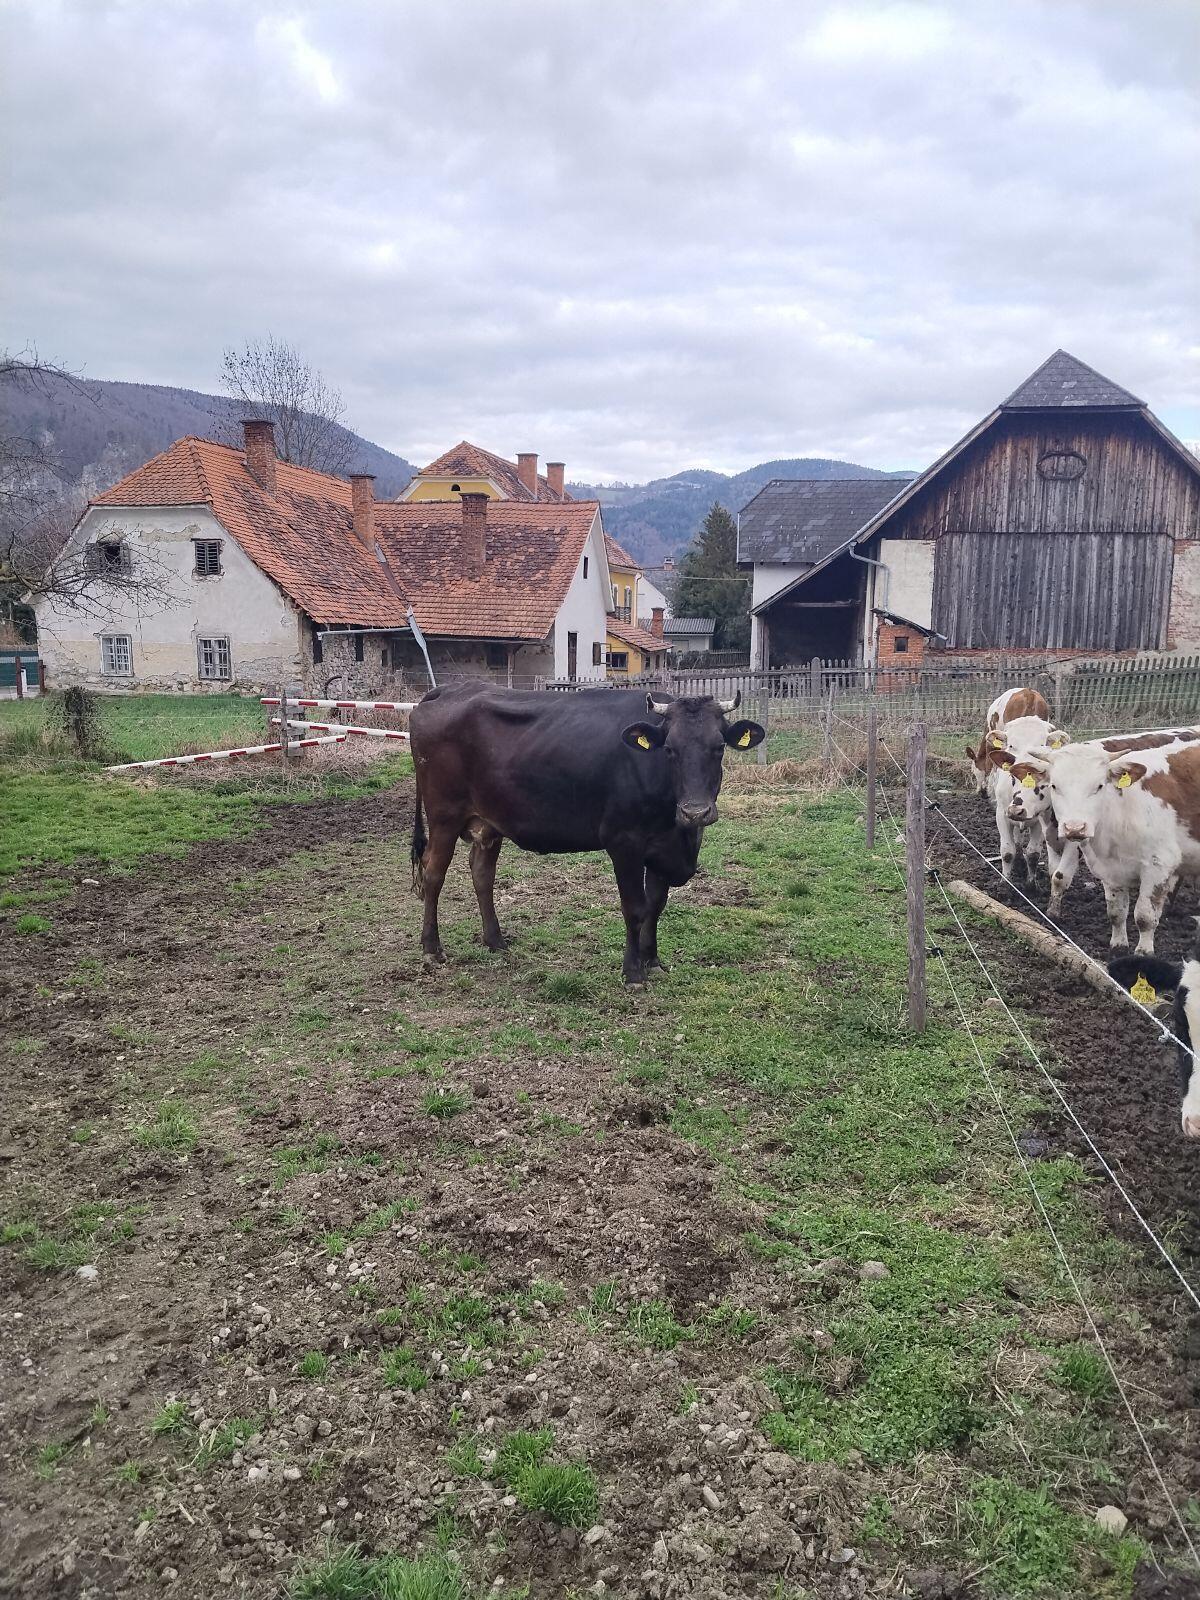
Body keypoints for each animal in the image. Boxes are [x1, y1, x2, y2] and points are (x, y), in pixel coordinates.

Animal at [408, 683, 766, 984]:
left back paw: (495, 940)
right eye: (670, 750)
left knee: (482, 874)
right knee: (433, 874)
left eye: (718, 747)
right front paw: (633, 971)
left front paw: (652, 961)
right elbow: (634, 907)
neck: (681, 834)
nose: (695, 812)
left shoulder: (661, 849)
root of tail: (449, 690)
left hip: (489, 822)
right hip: (444, 817)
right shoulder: (624, 842)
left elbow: (656, 905)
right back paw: (432, 949)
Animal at [1011, 737, 1200, 952]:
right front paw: (1118, 947)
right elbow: (1116, 913)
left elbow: (1145, 916)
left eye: (1099, 786)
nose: (1075, 828)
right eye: (1054, 786)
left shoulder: (1159, 865)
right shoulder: (1110, 871)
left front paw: (1143, 952)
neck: (1123, 812)